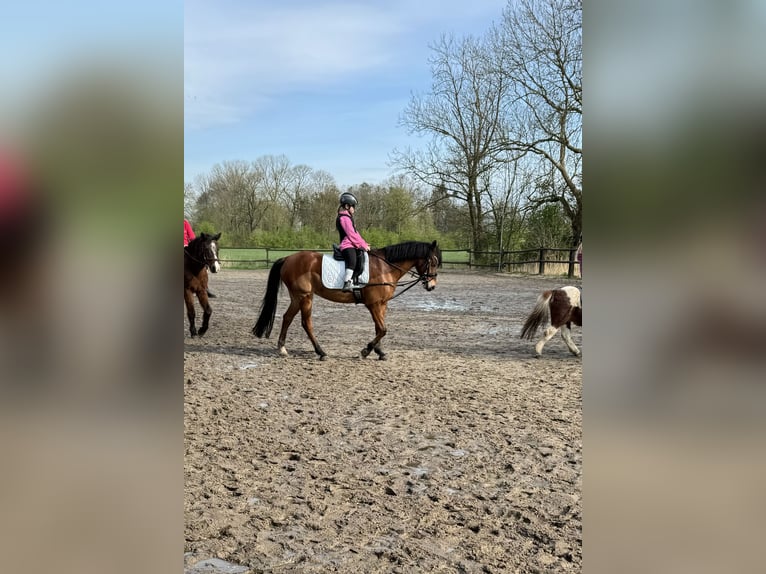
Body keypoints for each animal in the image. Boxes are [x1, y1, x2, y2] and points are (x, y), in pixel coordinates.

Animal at [254, 242, 444, 360]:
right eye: (433, 262)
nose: (432, 286)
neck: (385, 267)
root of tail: (288, 258)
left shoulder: (382, 304)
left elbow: (379, 328)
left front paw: (379, 352)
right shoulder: (373, 305)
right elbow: (383, 329)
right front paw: (365, 351)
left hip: (297, 297)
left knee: (287, 317)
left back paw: (282, 349)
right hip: (305, 297)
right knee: (306, 323)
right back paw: (321, 352)